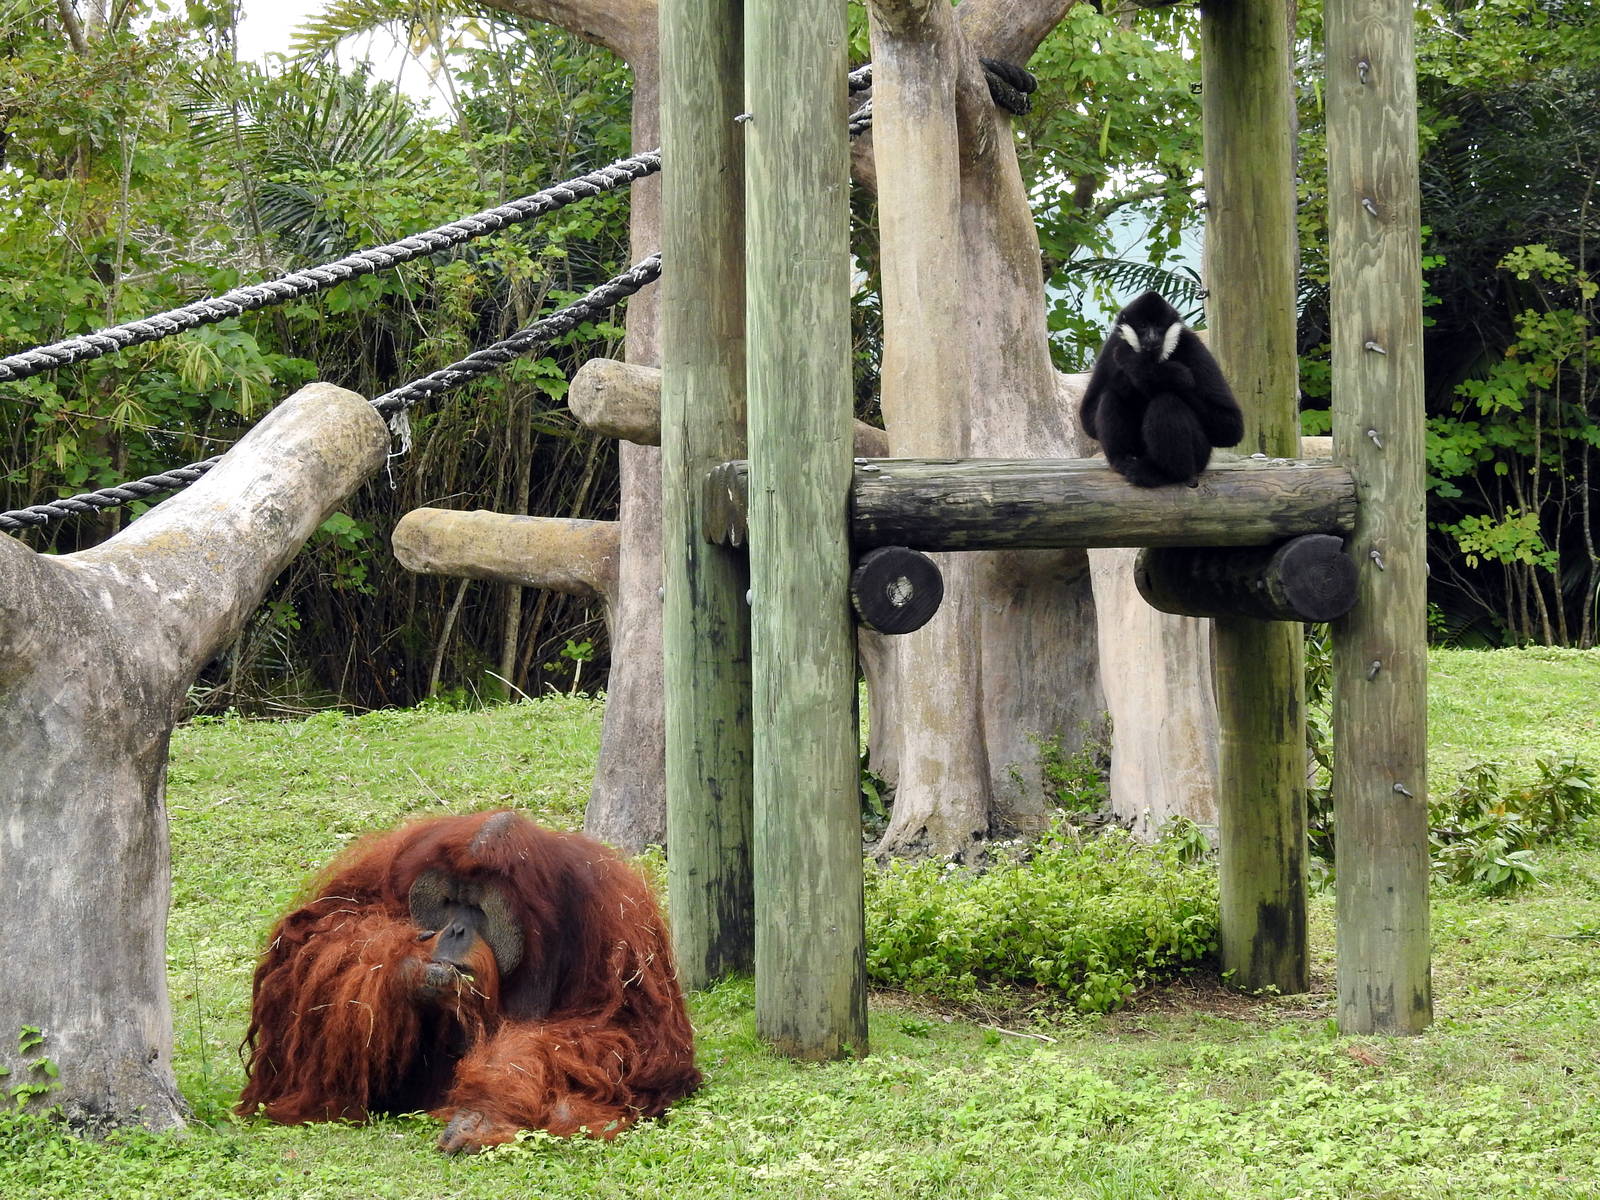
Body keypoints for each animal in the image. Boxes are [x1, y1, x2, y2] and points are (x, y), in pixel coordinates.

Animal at [1079, 290, 1245, 487]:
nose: (1152, 337)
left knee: (1167, 401)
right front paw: (1129, 378)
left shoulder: (1192, 344)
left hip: (1200, 456)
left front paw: (1152, 372)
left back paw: (1164, 473)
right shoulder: (1113, 343)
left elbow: (1230, 426)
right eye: (1143, 325)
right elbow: (1088, 417)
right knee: (1111, 396)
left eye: (1158, 326)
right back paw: (1124, 460)